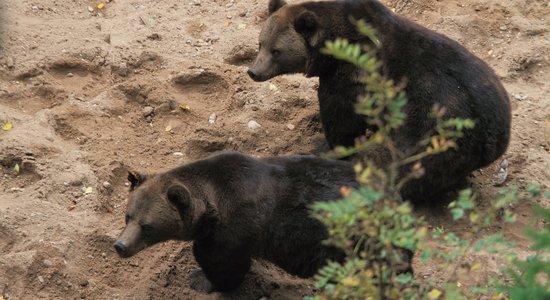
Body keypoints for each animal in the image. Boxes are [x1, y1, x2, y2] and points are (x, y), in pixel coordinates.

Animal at [250, 0, 512, 204]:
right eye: (261, 43)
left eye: (276, 51)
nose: (253, 71)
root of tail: (495, 139)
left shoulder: (351, 76)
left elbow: (342, 121)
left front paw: (321, 146)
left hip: (436, 130)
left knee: (403, 166)